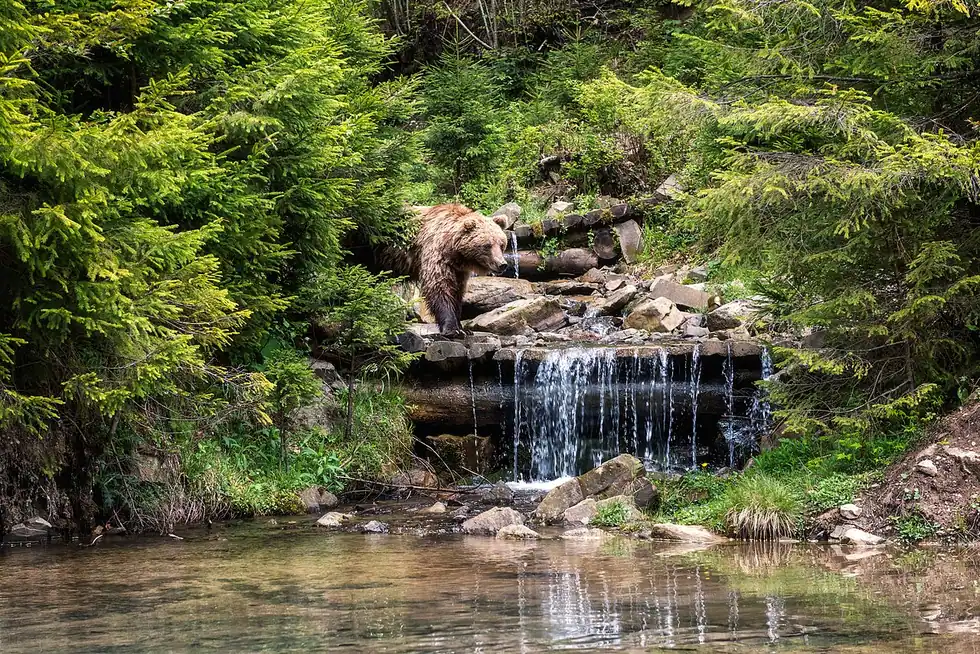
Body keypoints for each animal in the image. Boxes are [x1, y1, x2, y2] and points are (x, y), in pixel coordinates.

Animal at [382, 204, 509, 336]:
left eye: (501, 244)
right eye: (487, 245)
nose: (502, 264)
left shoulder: (458, 270)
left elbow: (457, 292)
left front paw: (463, 328)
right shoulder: (435, 254)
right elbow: (440, 287)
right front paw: (452, 329)